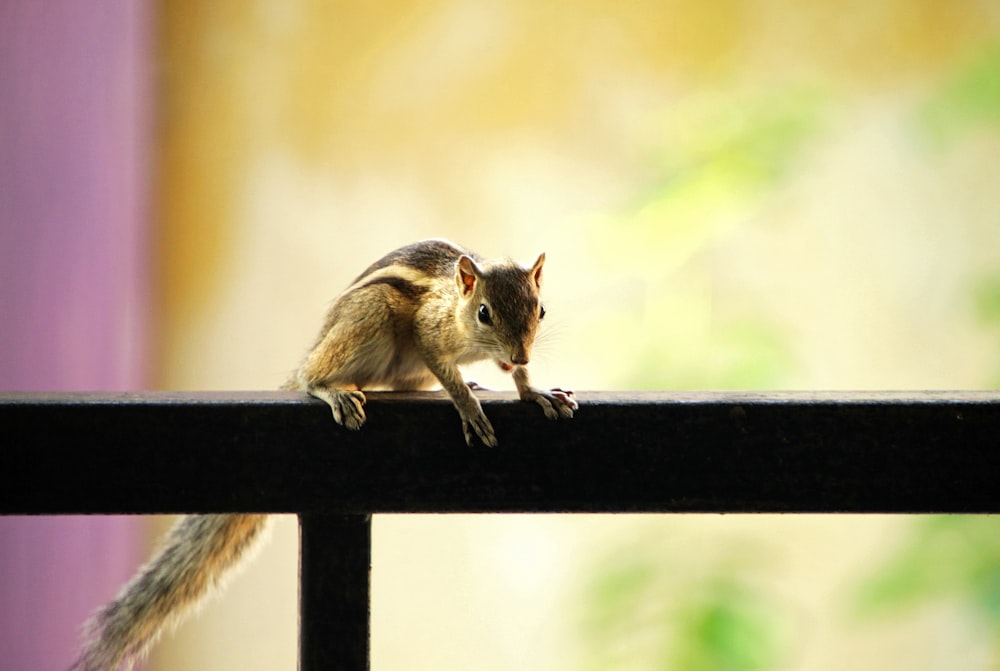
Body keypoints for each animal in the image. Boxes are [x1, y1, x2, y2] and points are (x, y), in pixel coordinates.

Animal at [72, 239, 580, 668]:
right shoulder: (429, 334)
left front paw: (533, 390)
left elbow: (510, 379)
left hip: (404, 366)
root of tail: (317, 344)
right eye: (485, 313)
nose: (520, 354)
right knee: (312, 376)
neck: (456, 307)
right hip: (369, 318)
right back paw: (330, 388)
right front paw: (469, 406)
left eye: (540, 309)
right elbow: (447, 372)